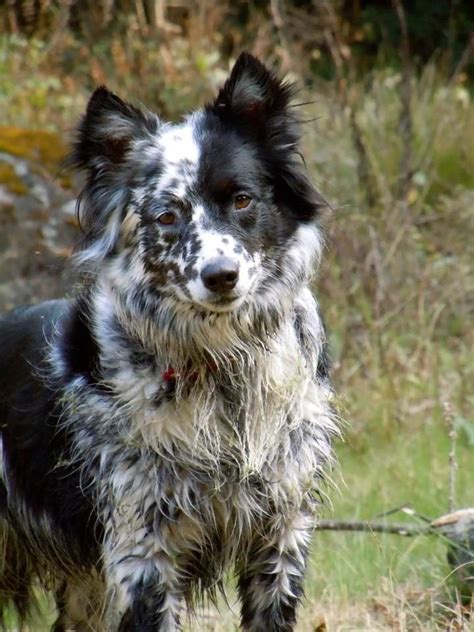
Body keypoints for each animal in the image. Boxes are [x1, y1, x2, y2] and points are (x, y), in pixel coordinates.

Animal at [1, 55, 338, 632]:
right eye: (167, 216)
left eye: (242, 199)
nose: (220, 277)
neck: (223, 368)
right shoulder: (144, 551)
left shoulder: (281, 535)